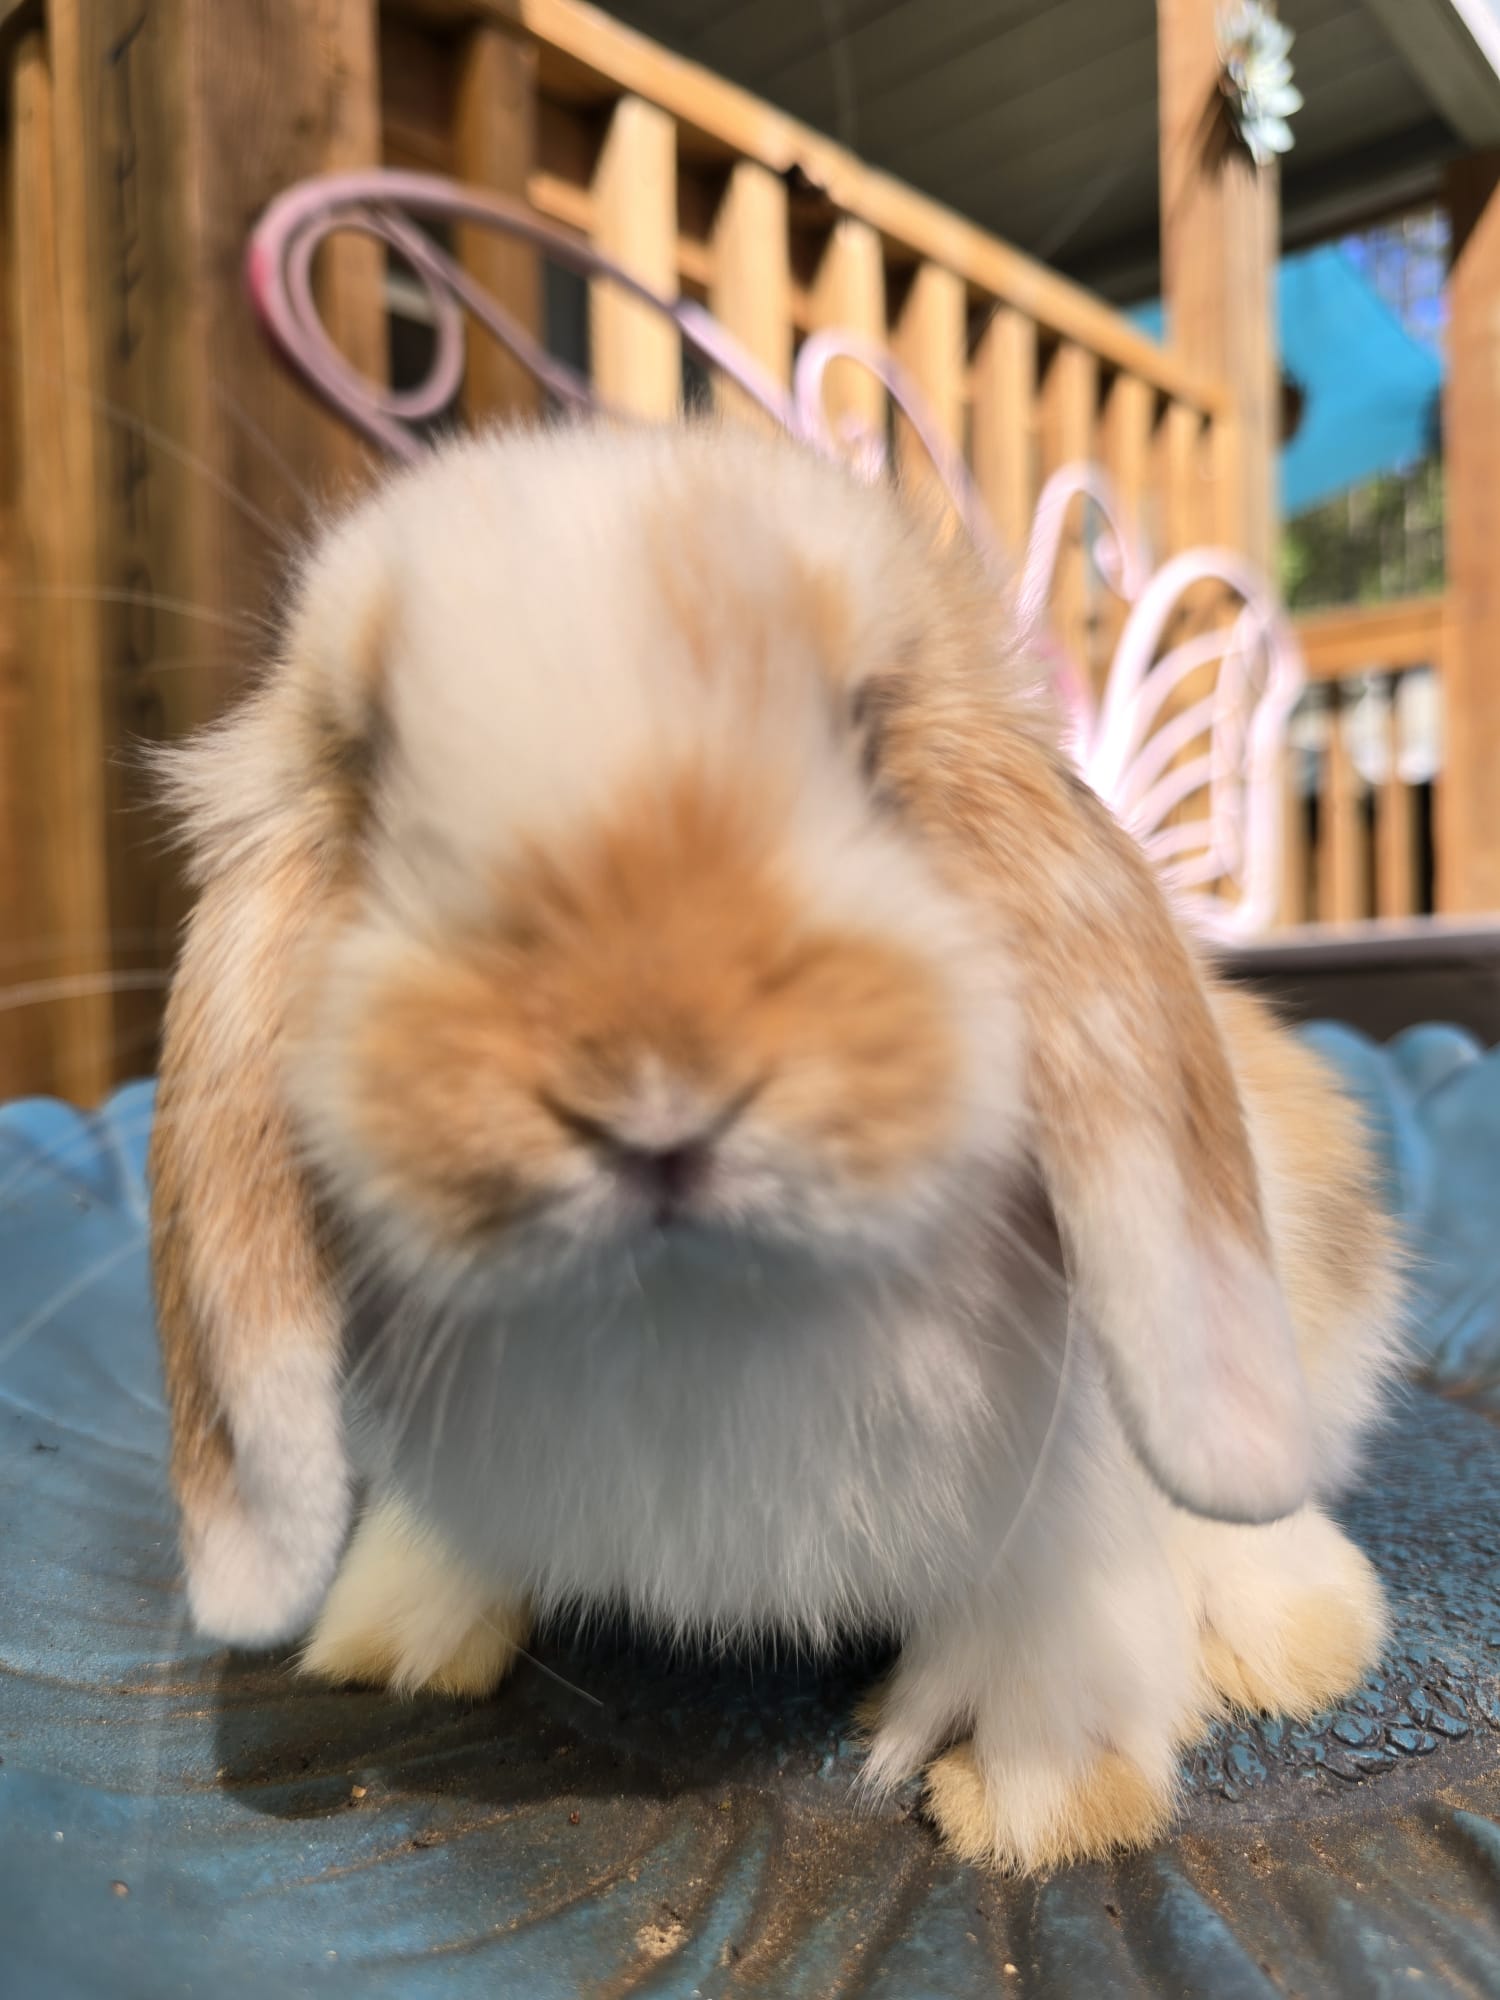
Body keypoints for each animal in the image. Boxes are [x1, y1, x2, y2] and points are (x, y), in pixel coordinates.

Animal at [149, 419, 1404, 1873]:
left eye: (865, 737)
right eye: (365, 776)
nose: (649, 1087)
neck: (697, 1313)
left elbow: (1059, 1611)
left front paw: (1031, 1798)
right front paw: (393, 1639)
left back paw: (1299, 1637)